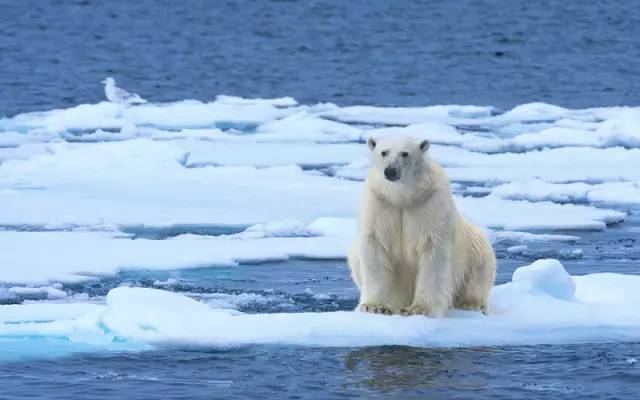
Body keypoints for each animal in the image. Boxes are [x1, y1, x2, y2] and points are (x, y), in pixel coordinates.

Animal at [350, 136, 496, 318]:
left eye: (405, 153)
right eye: (383, 152)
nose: (390, 171)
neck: (402, 197)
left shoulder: (429, 204)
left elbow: (432, 253)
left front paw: (419, 309)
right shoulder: (380, 203)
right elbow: (375, 246)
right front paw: (374, 306)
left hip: (472, 248)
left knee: (479, 265)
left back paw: (470, 304)